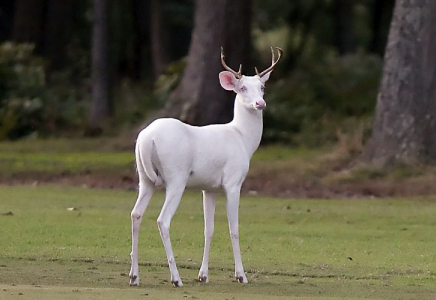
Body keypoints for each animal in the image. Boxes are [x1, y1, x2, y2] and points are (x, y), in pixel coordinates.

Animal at [127, 46, 284, 286]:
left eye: (262, 87)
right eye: (242, 87)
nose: (260, 103)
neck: (242, 138)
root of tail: (146, 138)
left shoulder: (209, 188)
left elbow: (208, 229)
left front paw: (203, 275)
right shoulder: (233, 182)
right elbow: (234, 228)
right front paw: (241, 275)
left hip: (145, 179)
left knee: (136, 214)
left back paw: (134, 276)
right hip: (176, 177)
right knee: (163, 220)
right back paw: (176, 279)